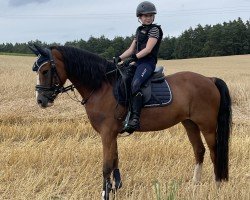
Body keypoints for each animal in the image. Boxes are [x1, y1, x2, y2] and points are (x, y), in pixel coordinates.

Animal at [29, 44, 232, 199]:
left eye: (45, 71)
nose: (41, 100)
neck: (101, 87)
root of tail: (209, 79)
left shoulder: (107, 133)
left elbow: (106, 165)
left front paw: (105, 193)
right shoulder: (112, 134)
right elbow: (115, 160)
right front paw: (115, 188)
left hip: (207, 125)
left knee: (215, 152)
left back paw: (218, 185)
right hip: (190, 123)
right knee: (199, 150)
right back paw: (195, 185)